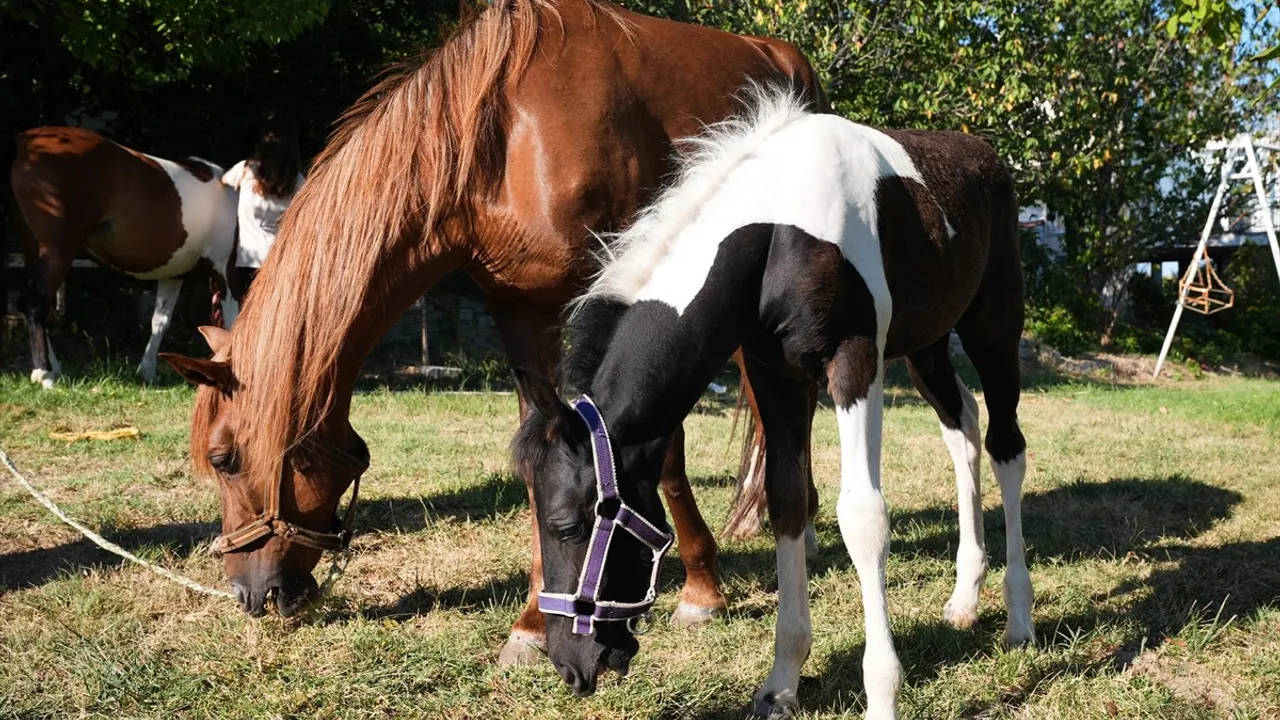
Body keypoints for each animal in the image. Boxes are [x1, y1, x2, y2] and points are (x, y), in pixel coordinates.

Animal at [6, 128, 240, 386]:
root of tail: (25, 141)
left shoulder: (174, 275)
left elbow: (160, 321)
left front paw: (148, 370)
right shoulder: (225, 271)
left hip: (33, 249)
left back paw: (52, 368)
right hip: (58, 251)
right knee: (35, 302)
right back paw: (45, 373)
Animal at [160, 0, 824, 661]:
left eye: (224, 458)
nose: (248, 593)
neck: (501, 139)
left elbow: (661, 451)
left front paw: (701, 589)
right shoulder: (520, 307)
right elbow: (541, 452)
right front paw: (532, 623)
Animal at [514, 85, 1034, 717]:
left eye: (566, 525)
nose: (570, 664)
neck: (778, 228)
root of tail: (987, 158)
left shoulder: (854, 363)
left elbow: (863, 517)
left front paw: (882, 694)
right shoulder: (774, 374)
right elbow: (787, 500)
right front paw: (781, 681)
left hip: (993, 332)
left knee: (1007, 446)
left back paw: (1019, 620)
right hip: (928, 348)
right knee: (963, 430)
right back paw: (964, 600)